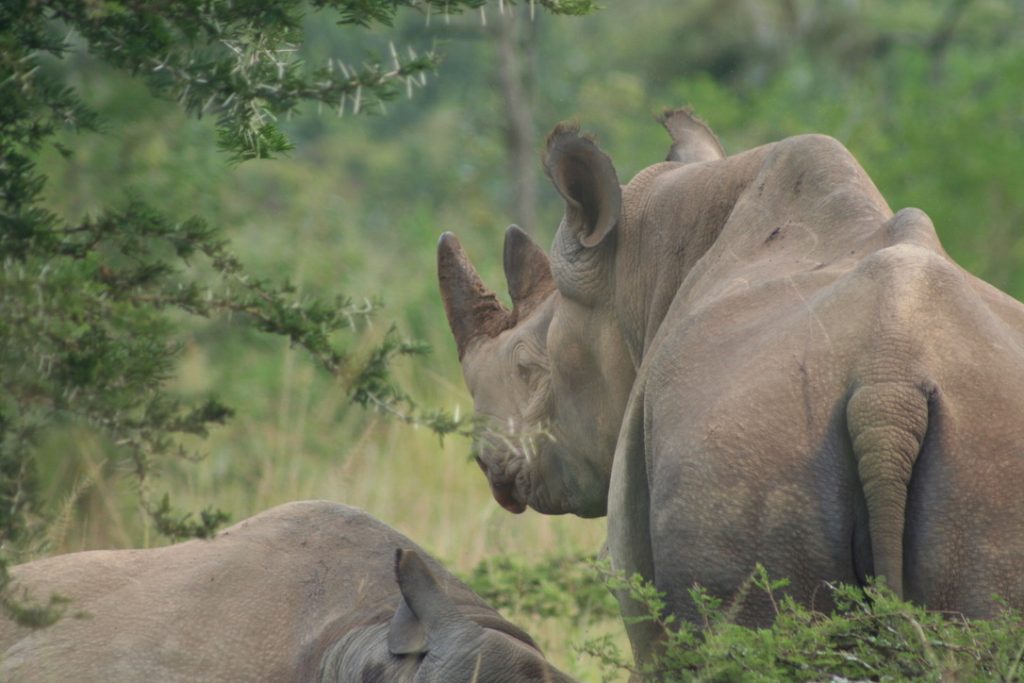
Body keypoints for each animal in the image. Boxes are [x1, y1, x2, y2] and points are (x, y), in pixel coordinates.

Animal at [436, 111, 1024, 663]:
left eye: (529, 367)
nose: (487, 461)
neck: (637, 269)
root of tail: (889, 383)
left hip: (750, 450)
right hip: (980, 447)